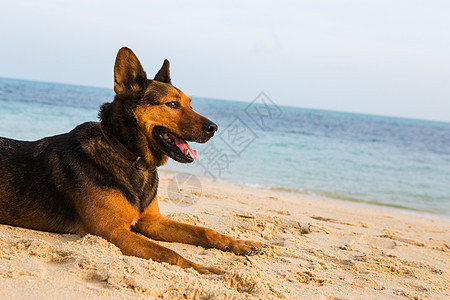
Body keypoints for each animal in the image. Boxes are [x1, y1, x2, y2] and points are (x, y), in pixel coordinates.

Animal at [0, 47, 264, 274]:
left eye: (190, 104)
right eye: (172, 104)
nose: (214, 128)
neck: (127, 155)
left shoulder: (153, 222)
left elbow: (204, 231)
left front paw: (238, 244)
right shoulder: (112, 231)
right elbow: (170, 254)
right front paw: (203, 269)